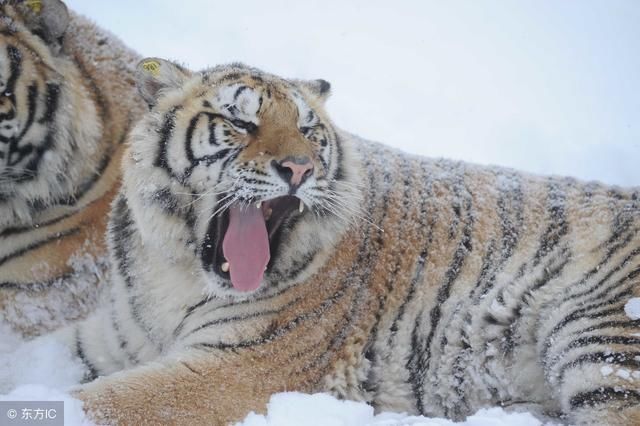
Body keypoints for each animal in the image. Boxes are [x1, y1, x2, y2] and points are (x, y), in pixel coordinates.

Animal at [30, 57, 640, 426]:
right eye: (240, 123)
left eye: (307, 129)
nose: (299, 169)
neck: (172, 272)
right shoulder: (107, 339)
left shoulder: (233, 367)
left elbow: (101, 403)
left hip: (600, 338)